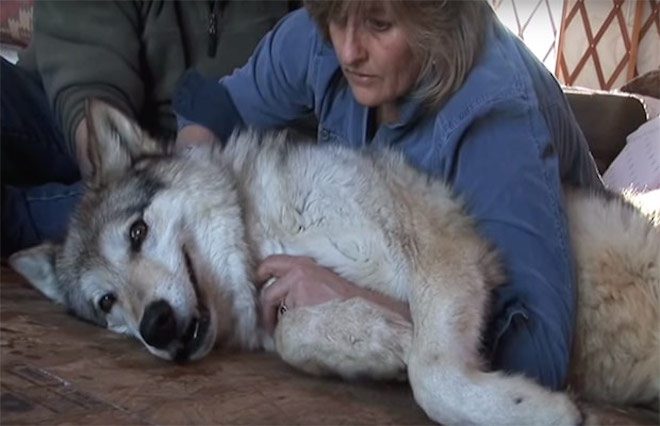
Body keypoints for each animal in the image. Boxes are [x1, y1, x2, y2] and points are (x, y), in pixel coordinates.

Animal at [10, 100, 659, 425]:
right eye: (106, 302)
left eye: (138, 231)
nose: (156, 327)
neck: (261, 232)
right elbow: (298, 335)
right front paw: (380, 340)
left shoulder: (443, 245)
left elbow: (432, 376)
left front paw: (534, 412)